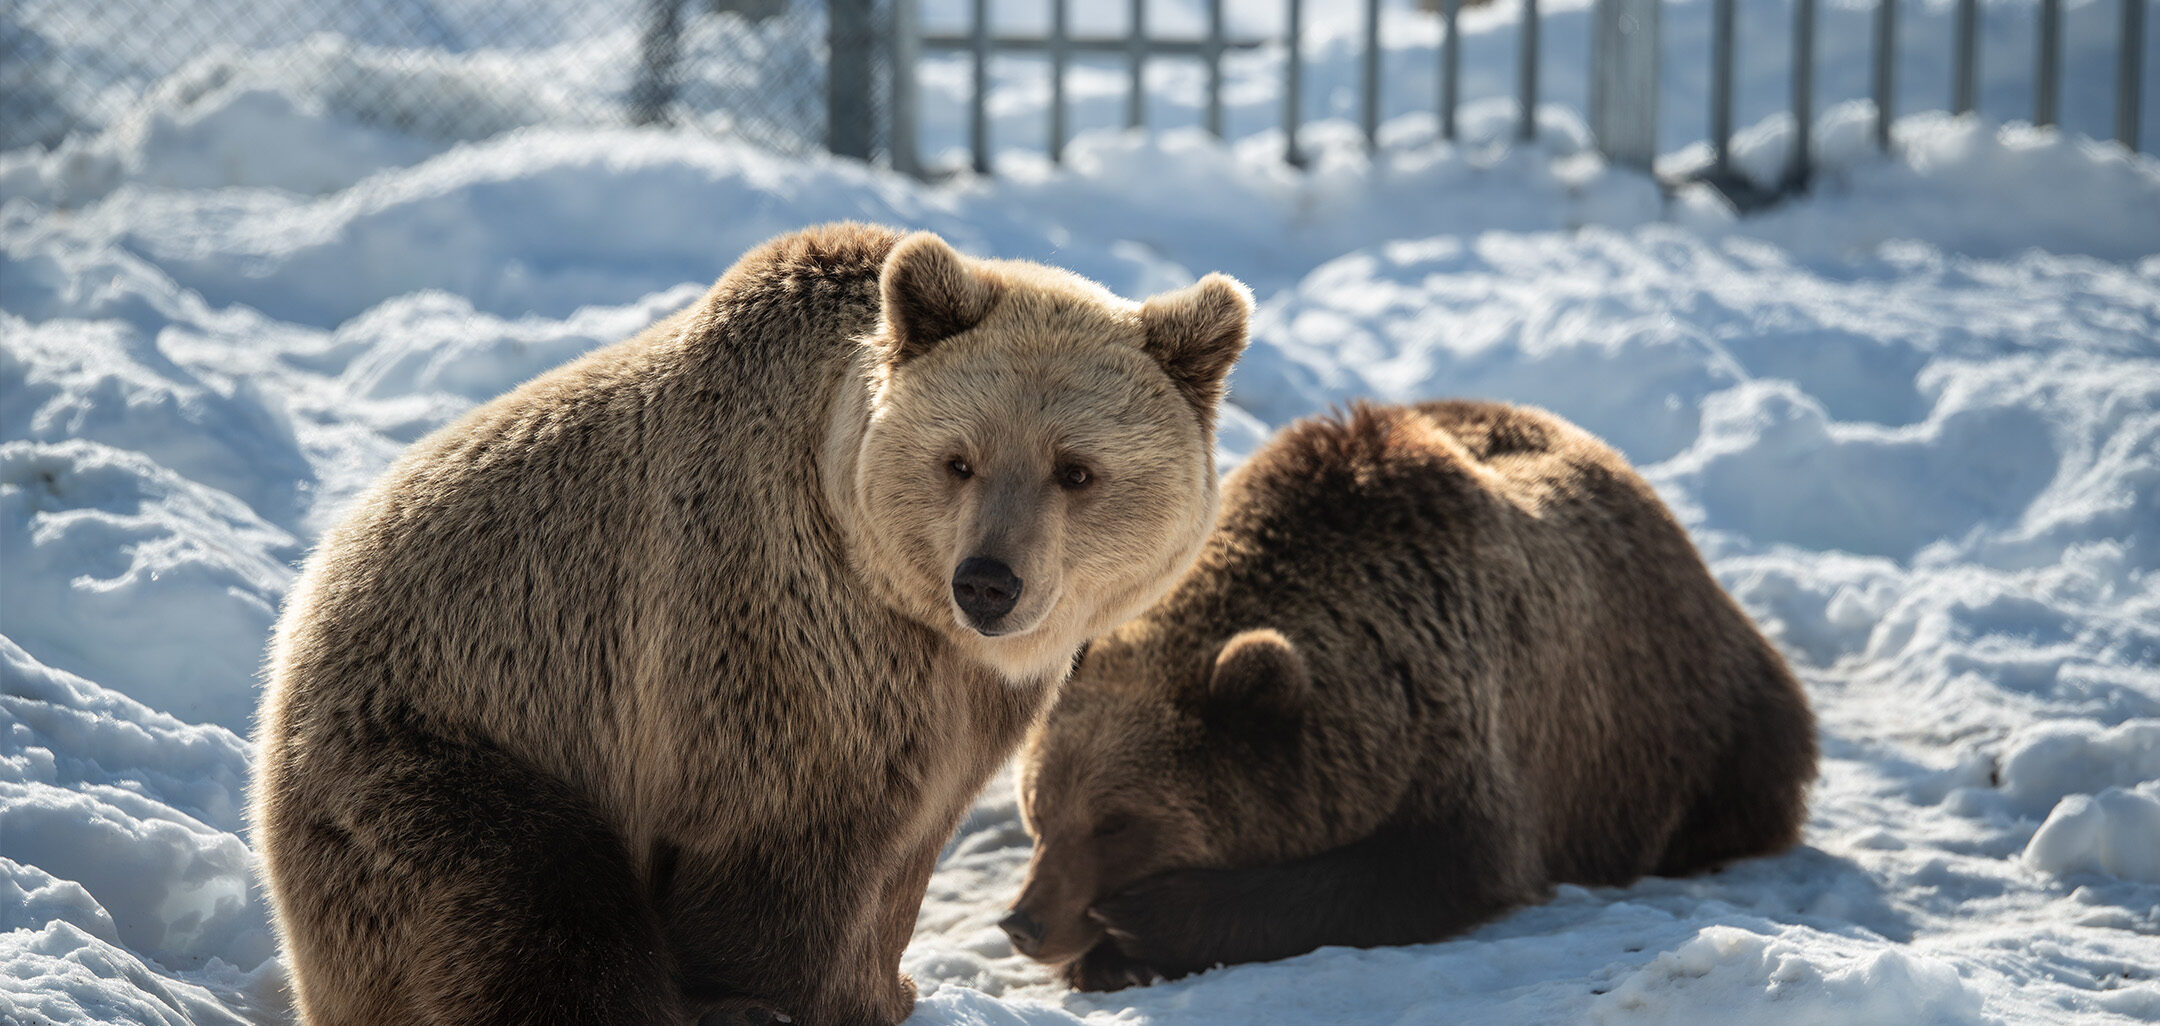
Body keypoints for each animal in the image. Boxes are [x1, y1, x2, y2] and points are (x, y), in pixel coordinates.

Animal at [251, 223, 1253, 1025]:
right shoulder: (771, 636)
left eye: (1075, 470)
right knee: (539, 914)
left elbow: (905, 852)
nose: (988, 582)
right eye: (959, 459)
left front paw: (886, 989)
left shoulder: (956, 704)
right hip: (448, 752)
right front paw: (783, 999)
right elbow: (780, 861)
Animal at [1003, 399, 1817, 990]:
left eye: (1117, 823)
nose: (1025, 923)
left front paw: (1141, 924)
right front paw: (1108, 952)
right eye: (1039, 810)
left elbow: (1427, 869)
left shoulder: (1462, 726)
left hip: (1692, 720)